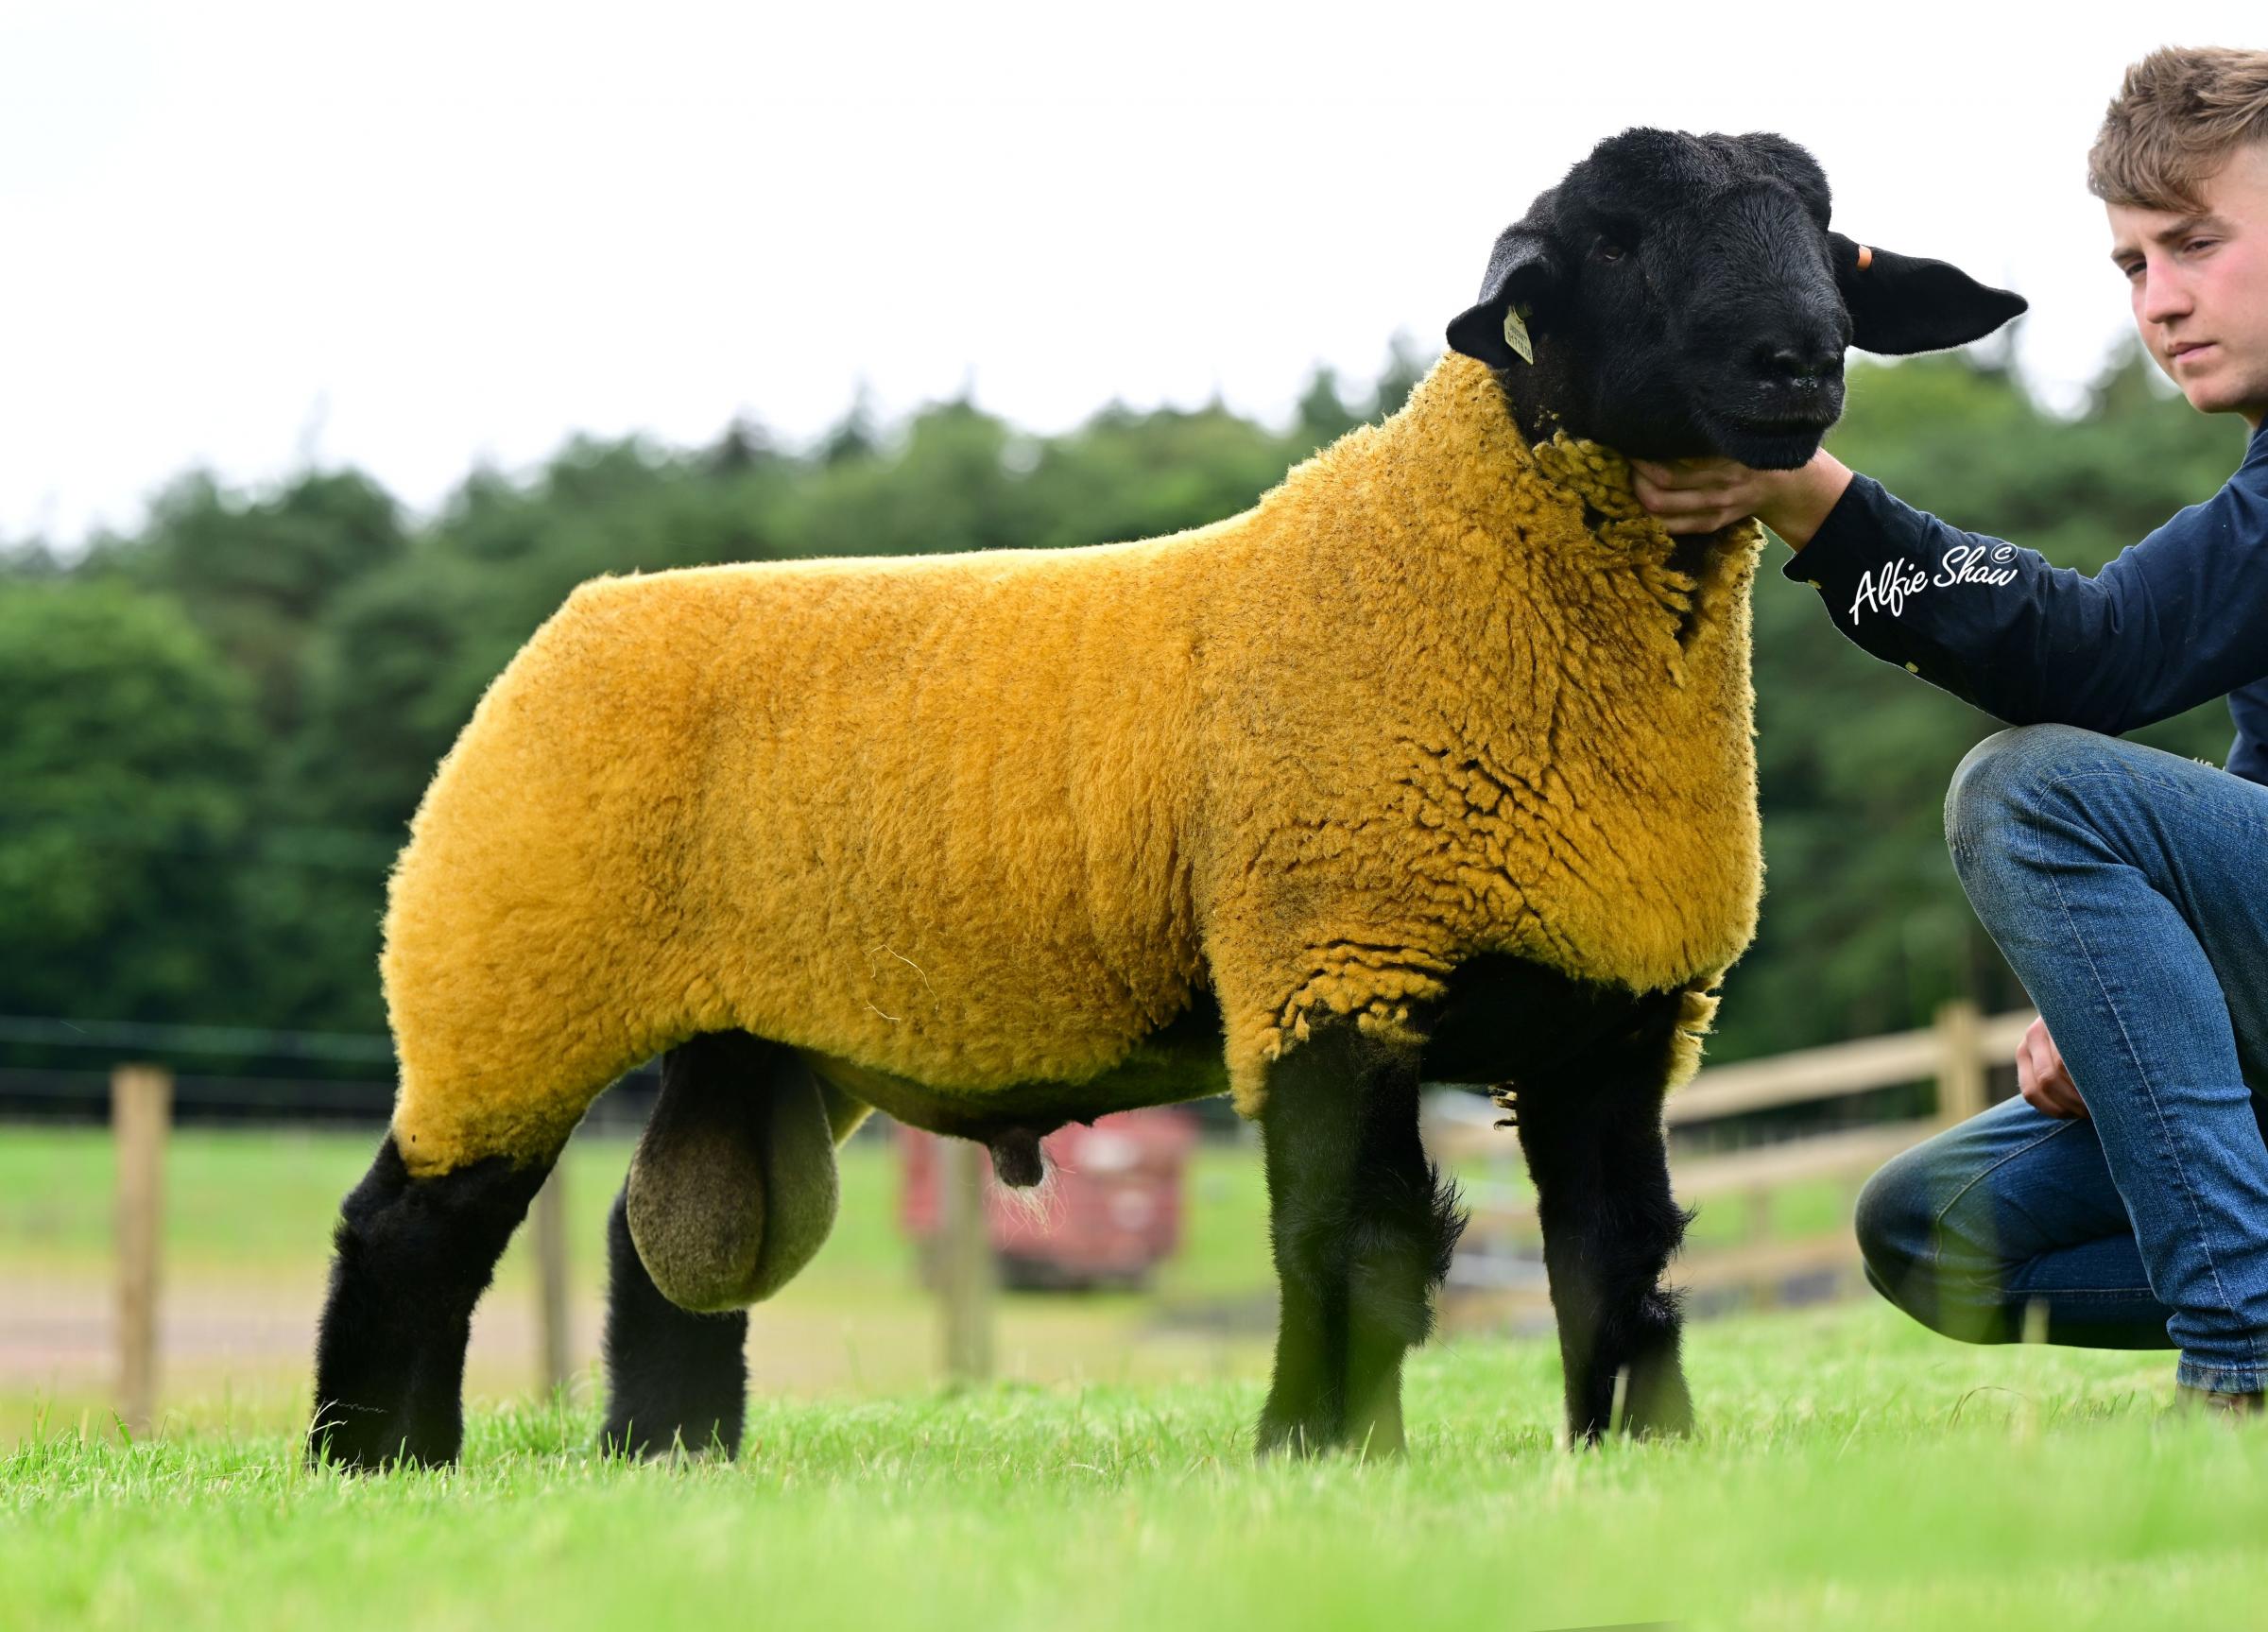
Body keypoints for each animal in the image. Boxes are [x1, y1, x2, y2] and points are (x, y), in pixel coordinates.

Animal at [301, 127, 2022, 1469]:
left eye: (1830, 236)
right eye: (1608, 239)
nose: (1797, 361)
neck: (1471, 570)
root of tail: (580, 620)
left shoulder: (1619, 1009)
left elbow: (1624, 1255)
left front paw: (1635, 1453)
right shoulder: (1328, 960)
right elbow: (1354, 1237)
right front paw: (1321, 1448)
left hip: (750, 1036)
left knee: (670, 1240)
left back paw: (665, 1460)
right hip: (504, 980)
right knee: (409, 1230)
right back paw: (380, 1466)